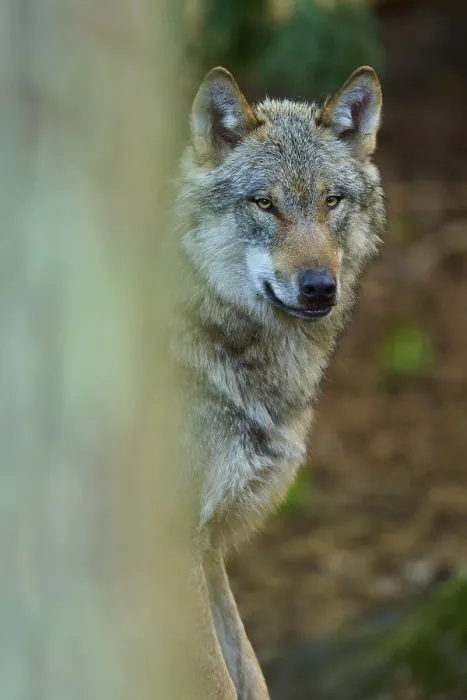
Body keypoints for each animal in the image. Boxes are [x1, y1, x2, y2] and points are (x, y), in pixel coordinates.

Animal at [175, 65, 386, 699]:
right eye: (265, 204)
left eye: (331, 200)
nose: (319, 287)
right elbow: (218, 682)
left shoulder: (209, 548)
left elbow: (249, 672)